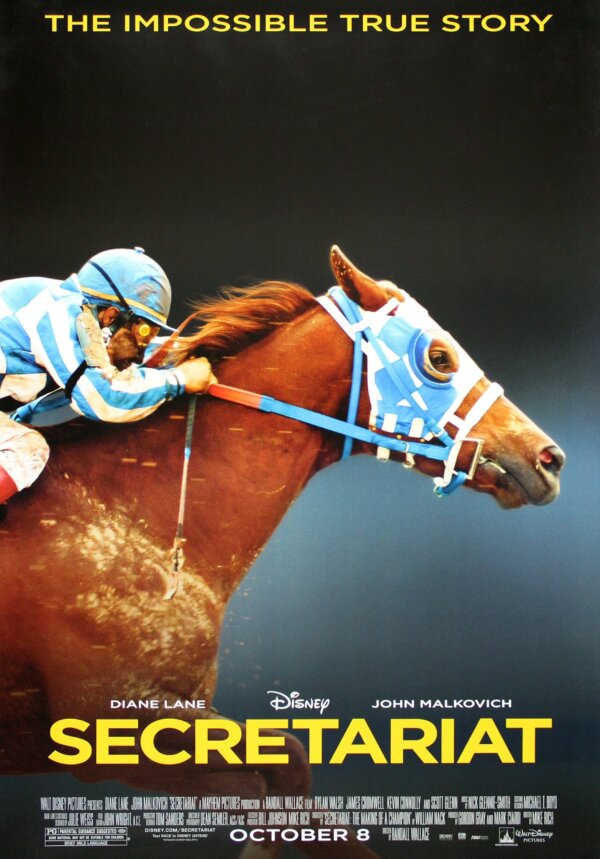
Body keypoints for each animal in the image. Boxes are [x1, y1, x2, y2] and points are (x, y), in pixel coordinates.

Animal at [0, 247, 564, 858]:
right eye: (438, 358)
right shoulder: (111, 727)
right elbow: (287, 765)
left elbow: (285, 771)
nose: (549, 457)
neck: (137, 515)